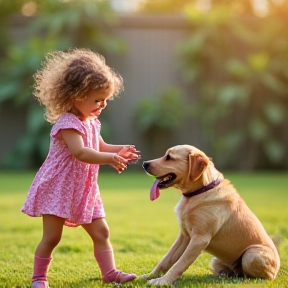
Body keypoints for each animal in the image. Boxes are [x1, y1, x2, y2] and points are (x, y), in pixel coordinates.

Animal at [142, 145, 280, 284]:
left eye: (169, 157)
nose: (144, 164)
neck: (200, 191)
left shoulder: (200, 238)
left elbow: (180, 263)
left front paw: (162, 281)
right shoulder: (184, 236)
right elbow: (166, 259)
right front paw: (150, 275)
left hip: (251, 255)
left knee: (257, 276)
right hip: (216, 261)